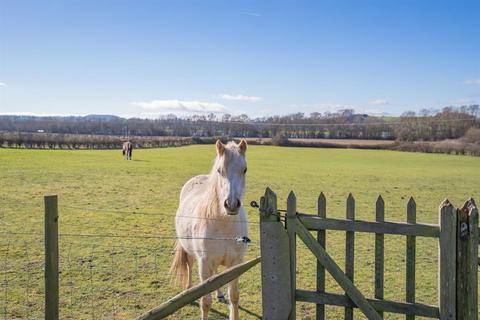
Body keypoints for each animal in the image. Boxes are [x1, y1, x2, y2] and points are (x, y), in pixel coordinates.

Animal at [172, 139, 248, 320]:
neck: (224, 225)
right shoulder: (204, 262)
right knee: (190, 265)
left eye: (244, 169)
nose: (231, 204)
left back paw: (219, 294)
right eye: (220, 170)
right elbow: (205, 301)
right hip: (190, 252)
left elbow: (234, 297)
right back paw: (189, 290)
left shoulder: (236, 264)